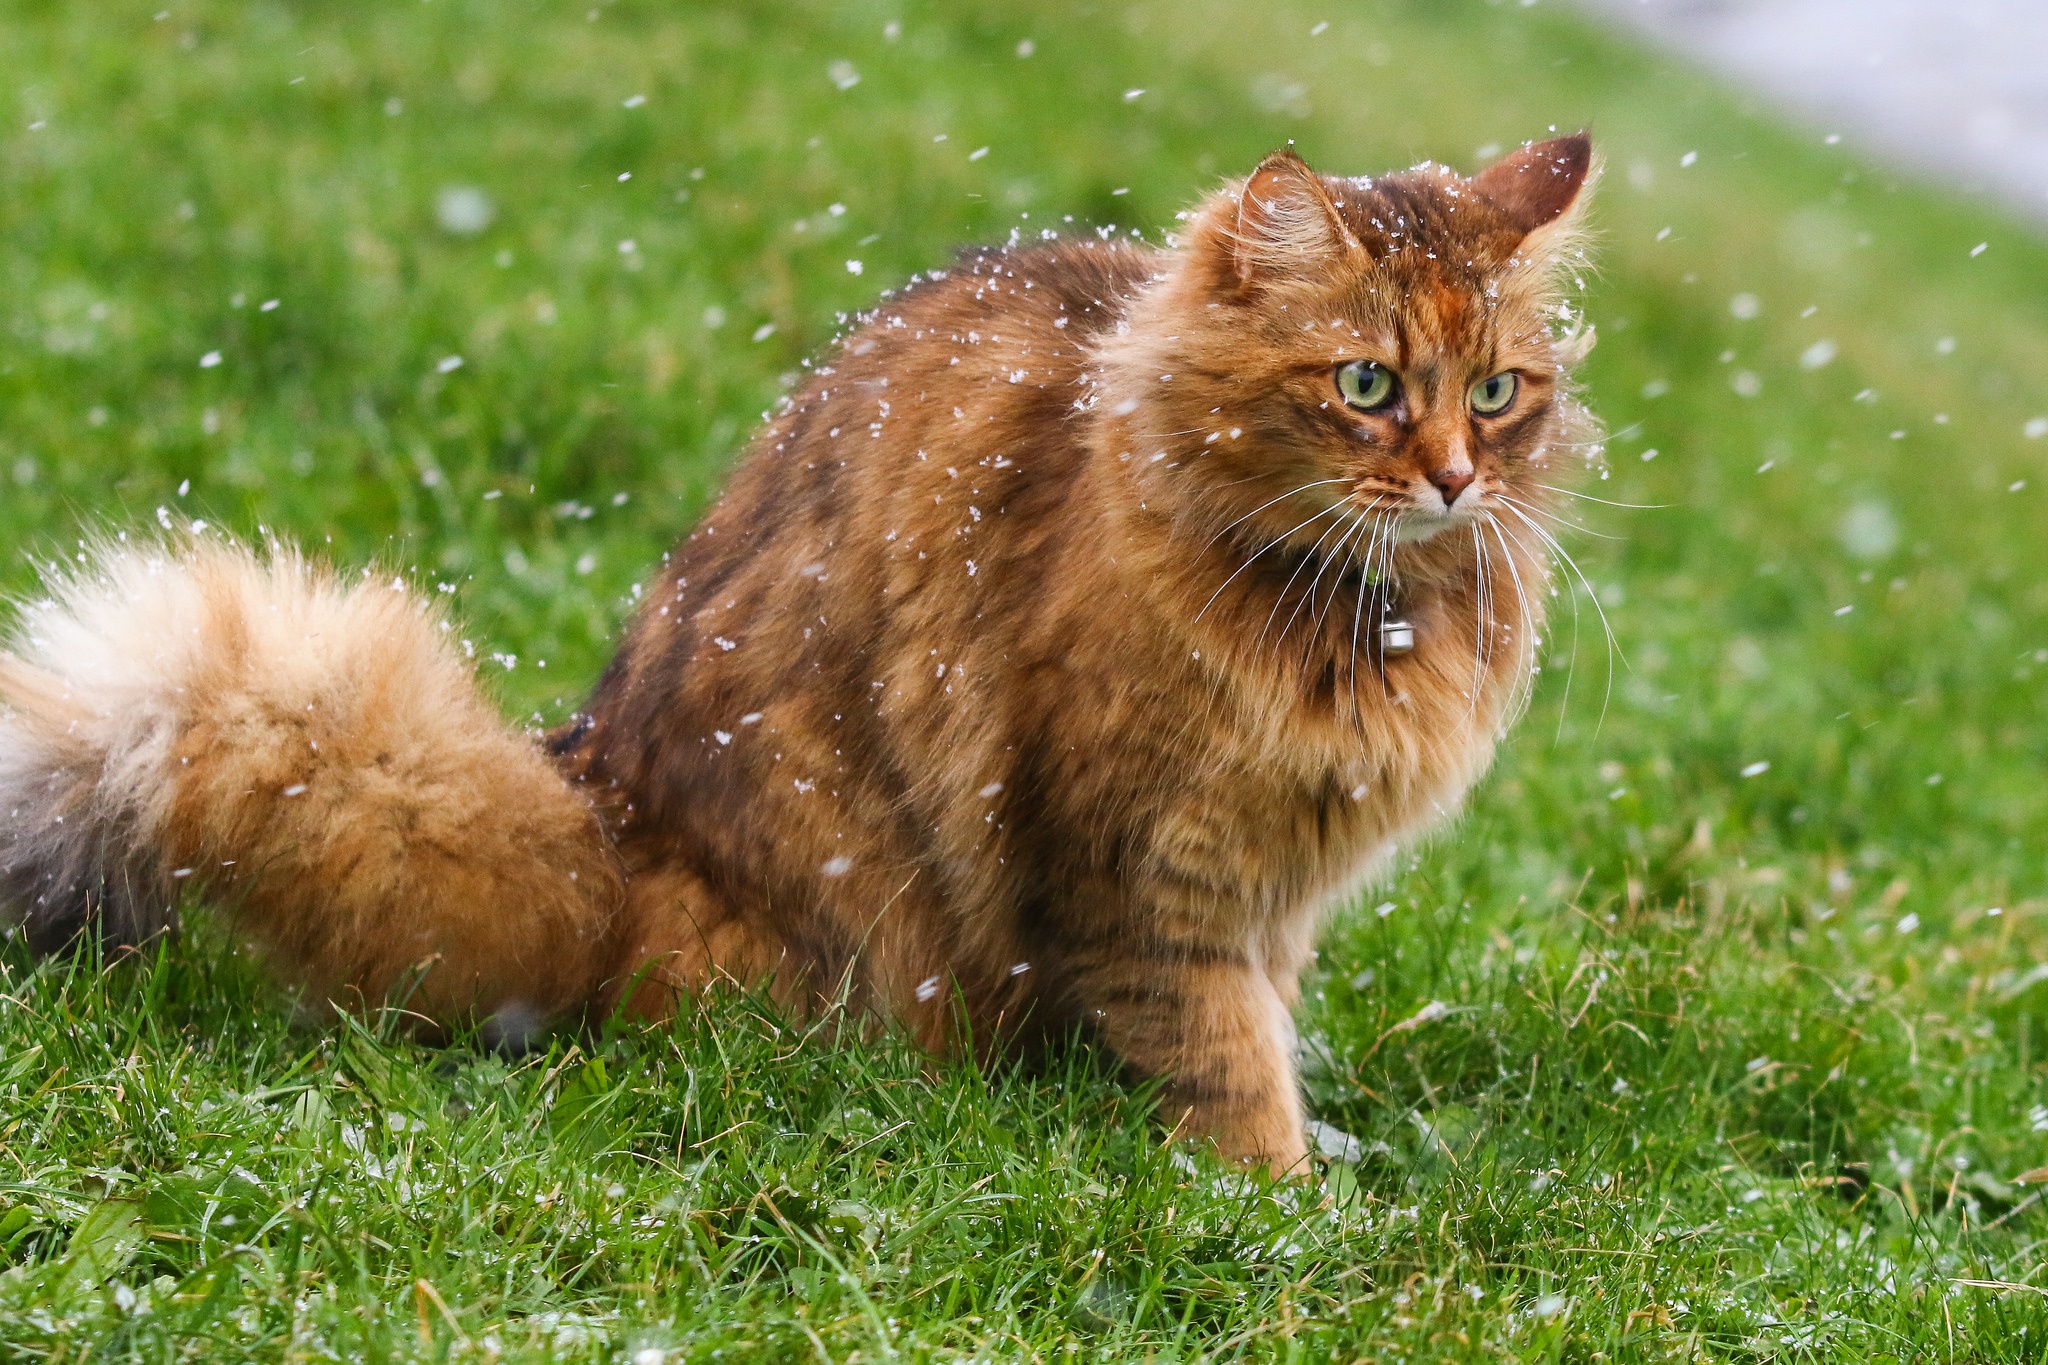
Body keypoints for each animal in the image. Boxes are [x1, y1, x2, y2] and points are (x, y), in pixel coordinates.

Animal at [0, 133, 1597, 1178]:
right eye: (1367, 385)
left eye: (1497, 393)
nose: (1455, 481)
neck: (1370, 619)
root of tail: (599, 824)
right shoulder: (1146, 871)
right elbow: (1225, 1057)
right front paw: (1278, 1206)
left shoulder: (1279, 892)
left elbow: (1266, 1025)